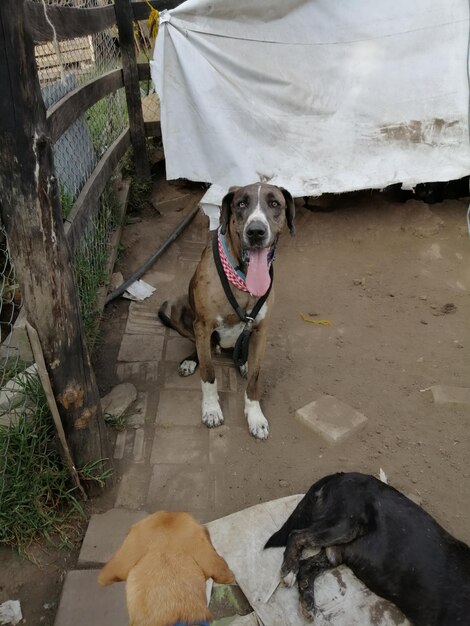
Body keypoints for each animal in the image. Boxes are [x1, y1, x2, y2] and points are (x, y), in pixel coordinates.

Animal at [264, 472, 470, 624]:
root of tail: (343, 474)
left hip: (337, 551)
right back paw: (289, 570)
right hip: (344, 525)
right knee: (296, 535)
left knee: (307, 567)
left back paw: (307, 602)